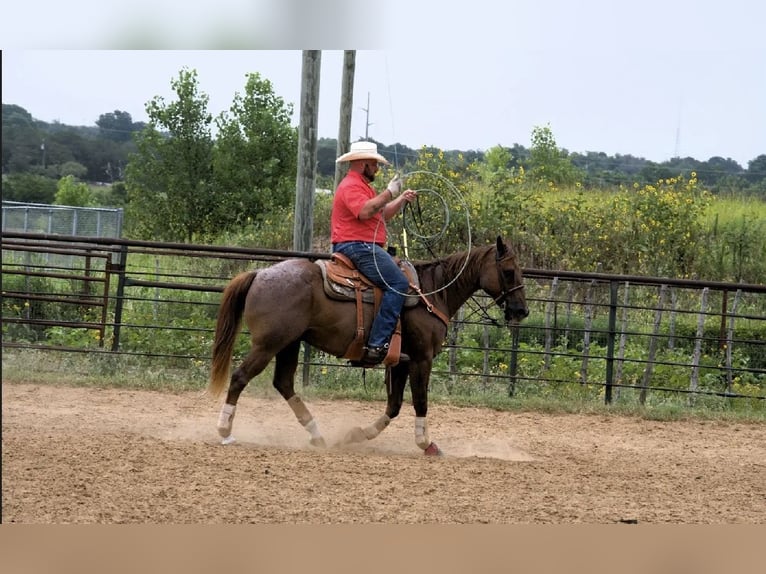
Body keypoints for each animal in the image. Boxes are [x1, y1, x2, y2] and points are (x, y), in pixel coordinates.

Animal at [208, 235, 528, 455]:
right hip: (268, 344)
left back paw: (317, 435)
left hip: (289, 343)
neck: (432, 292)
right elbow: (420, 400)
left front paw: (357, 434)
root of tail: (259, 274)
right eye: (509, 271)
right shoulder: (421, 358)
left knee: (284, 383)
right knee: (240, 377)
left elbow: (395, 405)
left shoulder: (401, 360)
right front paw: (426, 443)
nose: (522, 310)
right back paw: (224, 430)